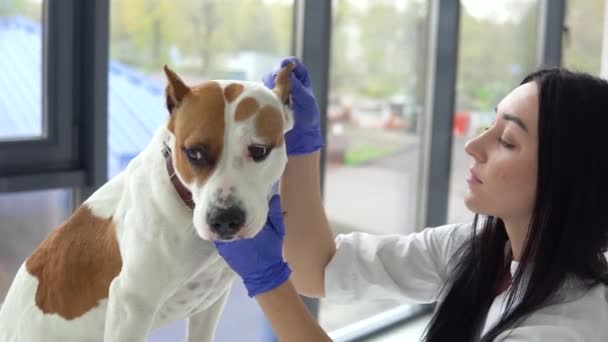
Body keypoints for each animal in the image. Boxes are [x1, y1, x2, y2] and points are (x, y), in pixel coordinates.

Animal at [0, 62, 294, 340]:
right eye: (194, 153)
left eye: (259, 151)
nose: (224, 219)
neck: (184, 201)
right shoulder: (131, 305)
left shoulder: (210, 305)